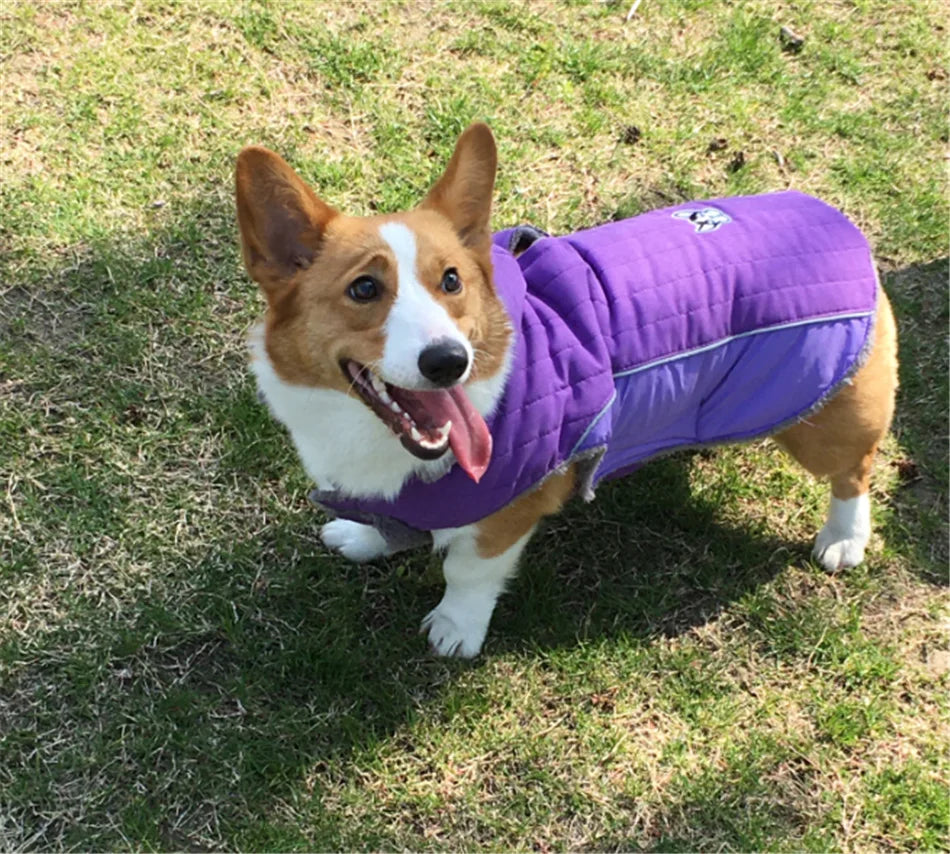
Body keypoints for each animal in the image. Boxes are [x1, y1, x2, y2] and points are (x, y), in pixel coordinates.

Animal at [238, 120, 900, 660]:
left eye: (451, 280)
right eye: (364, 289)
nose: (449, 362)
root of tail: (835, 220)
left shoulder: (505, 516)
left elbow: (468, 573)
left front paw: (454, 629)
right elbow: (384, 525)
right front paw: (360, 537)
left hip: (824, 417)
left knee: (856, 468)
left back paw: (843, 539)